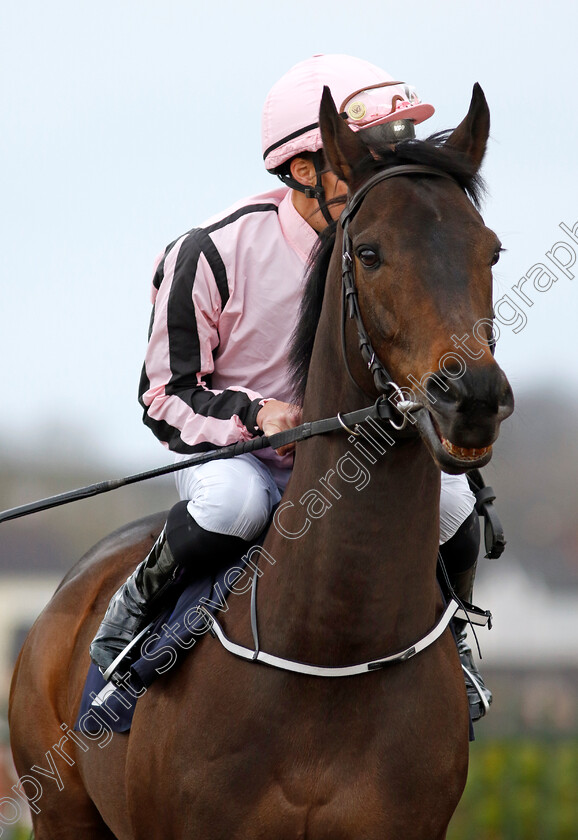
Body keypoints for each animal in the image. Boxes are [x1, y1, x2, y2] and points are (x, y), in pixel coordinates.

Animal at [9, 80, 512, 840]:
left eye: (492, 251)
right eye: (370, 252)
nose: (472, 397)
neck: (331, 649)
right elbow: (170, 386)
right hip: (62, 814)